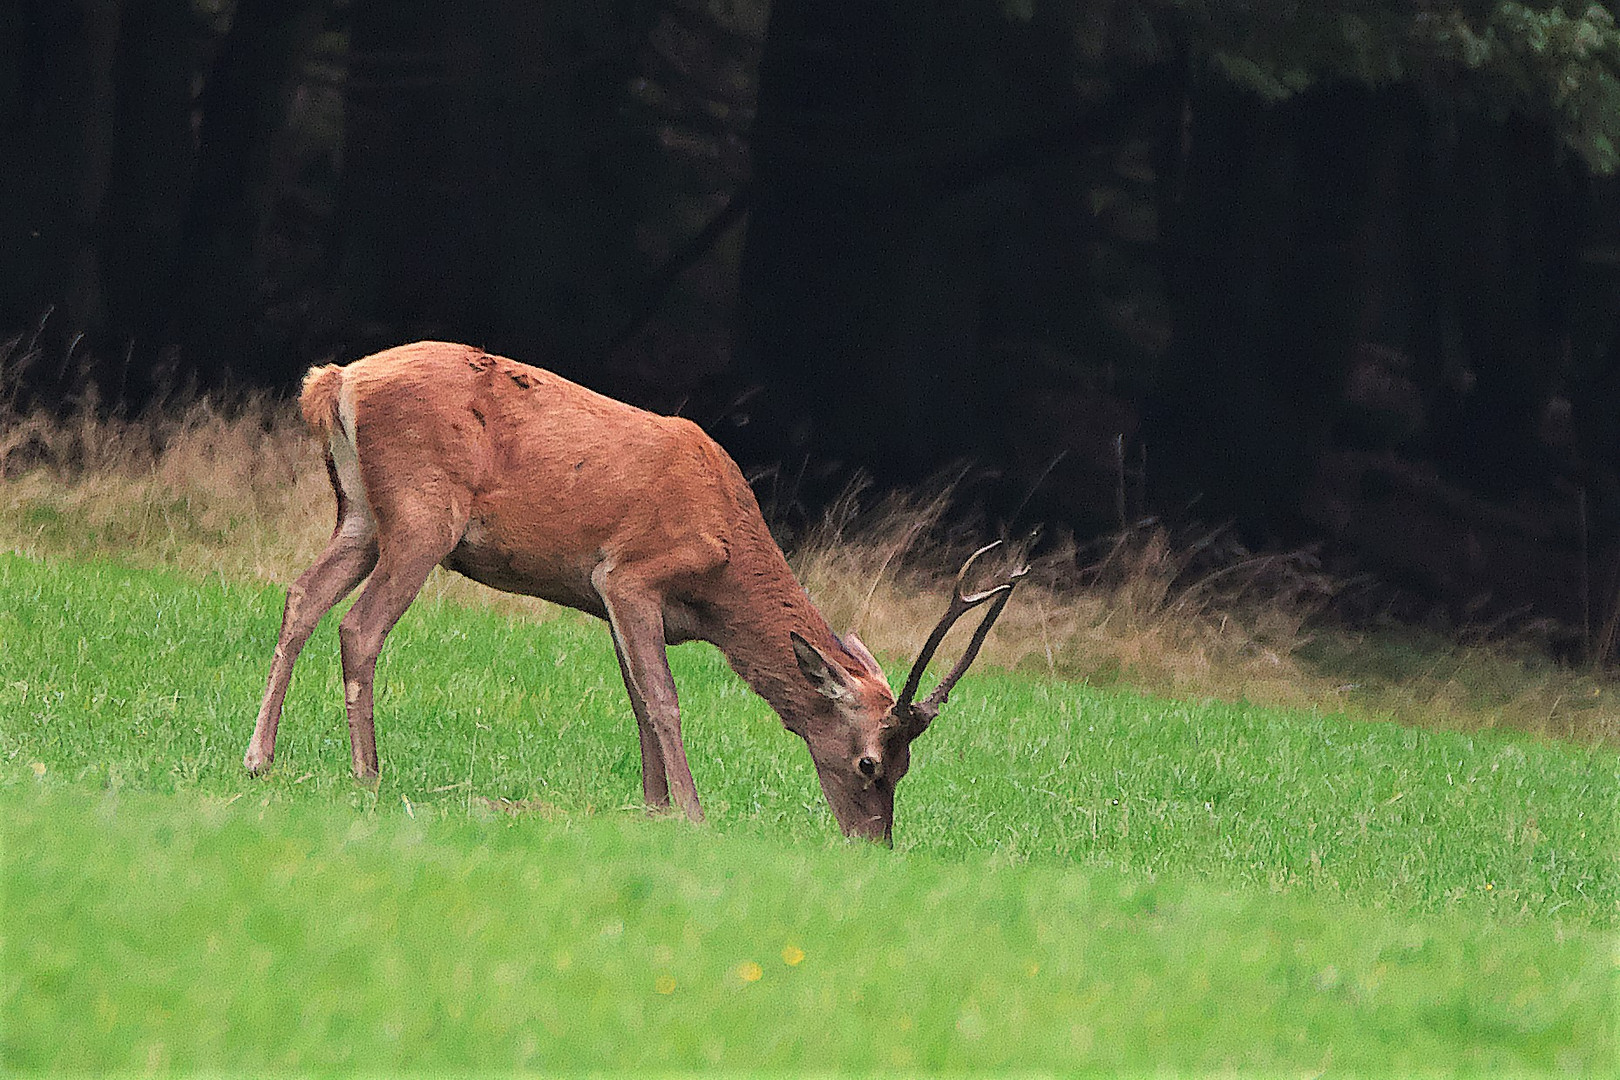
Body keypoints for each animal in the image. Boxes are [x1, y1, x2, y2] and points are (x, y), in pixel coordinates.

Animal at [243, 341, 1023, 841]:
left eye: (909, 765)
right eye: (870, 763)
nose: (875, 843)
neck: (720, 570)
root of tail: (334, 383)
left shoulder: (609, 599)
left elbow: (637, 701)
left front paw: (653, 811)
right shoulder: (630, 574)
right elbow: (666, 700)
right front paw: (695, 816)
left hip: (360, 513)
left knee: (302, 596)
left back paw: (259, 760)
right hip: (422, 512)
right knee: (360, 626)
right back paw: (367, 776)